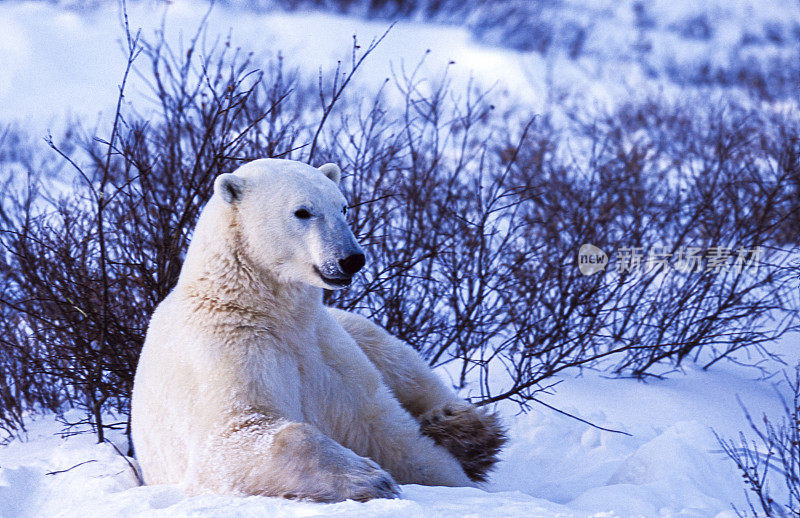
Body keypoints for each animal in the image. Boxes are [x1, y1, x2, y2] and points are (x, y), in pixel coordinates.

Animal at [131, 159, 506, 504]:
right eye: (303, 211)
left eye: (343, 206)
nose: (351, 258)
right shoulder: (228, 349)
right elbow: (235, 435)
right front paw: (368, 478)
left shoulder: (322, 347)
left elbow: (388, 432)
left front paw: (460, 483)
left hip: (352, 325)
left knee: (402, 363)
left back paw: (467, 431)